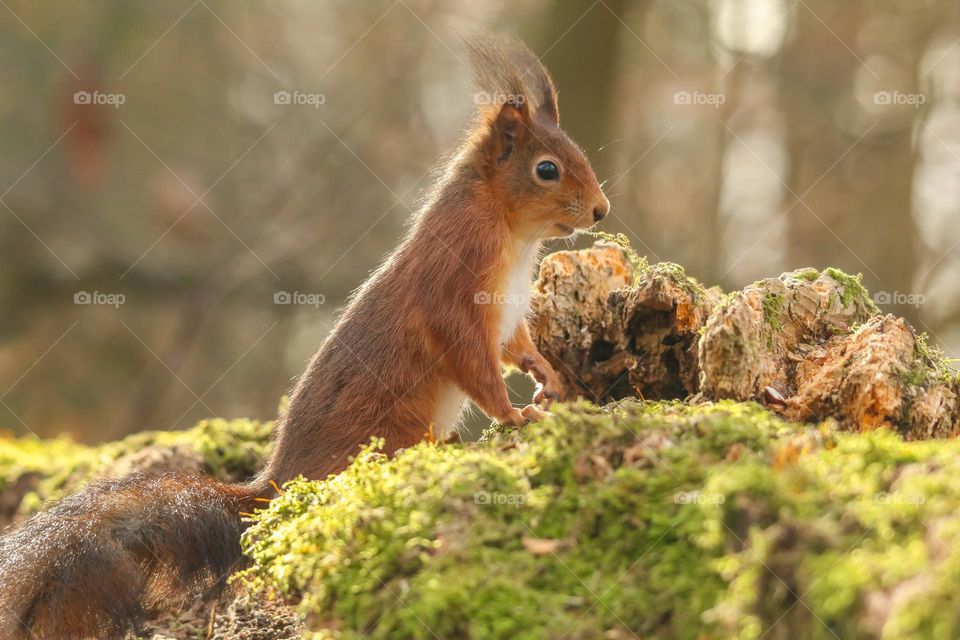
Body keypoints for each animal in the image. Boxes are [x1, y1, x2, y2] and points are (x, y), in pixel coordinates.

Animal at [0, 37, 612, 636]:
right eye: (547, 169)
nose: (602, 210)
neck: (513, 236)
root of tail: (276, 487)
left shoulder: (506, 316)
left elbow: (516, 349)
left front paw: (548, 376)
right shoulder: (453, 294)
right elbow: (475, 366)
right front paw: (514, 414)